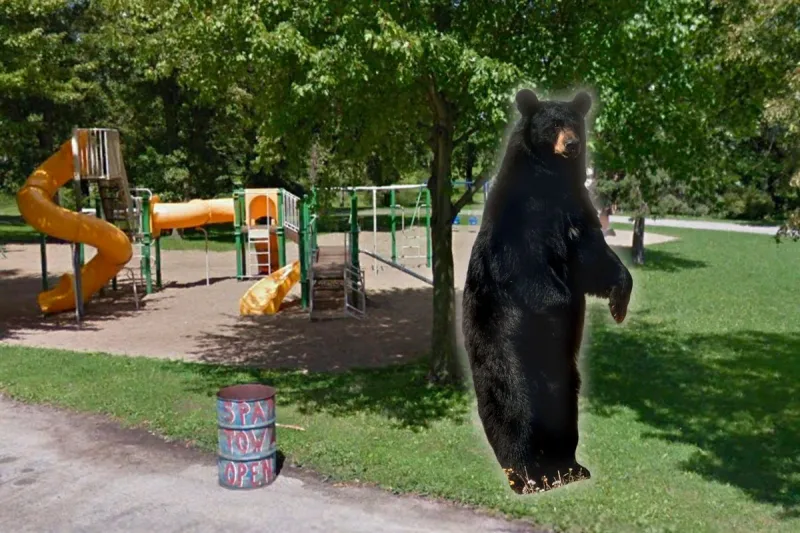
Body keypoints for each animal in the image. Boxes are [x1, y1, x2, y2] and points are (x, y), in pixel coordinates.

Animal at [461, 88, 633, 494]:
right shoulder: (518, 220)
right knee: (516, 408)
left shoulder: (577, 211)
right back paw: (527, 475)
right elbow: (528, 270)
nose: (571, 144)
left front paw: (618, 303)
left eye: (574, 123)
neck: (552, 181)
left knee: (563, 414)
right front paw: (565, 307)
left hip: (566, 382)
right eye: (553, 124)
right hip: (507, 358)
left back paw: (569, 468)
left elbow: (595, 258)